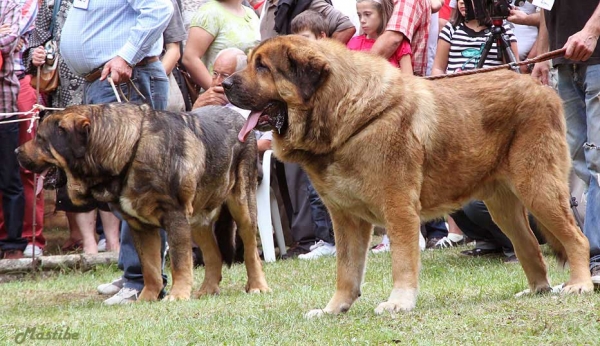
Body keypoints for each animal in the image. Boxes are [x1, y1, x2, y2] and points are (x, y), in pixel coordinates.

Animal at [16, 104, 270, 302]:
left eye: (40, 139)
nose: (17, 151)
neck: (129, 149)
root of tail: (240, 118)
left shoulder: (175, 216)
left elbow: (179, 260)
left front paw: (177, 295)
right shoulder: (140, 226)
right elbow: (149, 266)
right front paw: (148, 297)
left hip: (242, 205)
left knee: (250, 250)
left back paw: (258, 286)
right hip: (198, 218)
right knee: (213, 254)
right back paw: (207, 290)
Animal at [223, 36, 592, 318]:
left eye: (262, 67)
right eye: (252, 62)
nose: (224, 83)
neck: (346, 117)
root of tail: (542, 88)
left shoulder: (398, 208)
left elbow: (401, 260)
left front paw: (398, 302)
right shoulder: (346, 219)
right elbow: (346, 270)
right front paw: (334, 309)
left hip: (538, 188)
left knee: (577, 238)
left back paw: (580, 284)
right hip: (505, 206)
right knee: (529, 245)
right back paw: (537, 290)